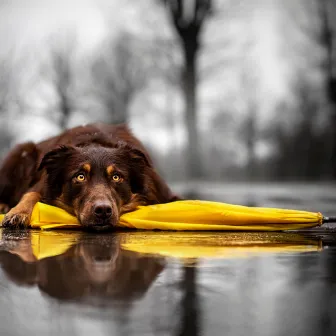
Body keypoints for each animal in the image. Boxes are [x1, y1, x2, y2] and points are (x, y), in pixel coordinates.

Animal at [0, 123, 180, 231]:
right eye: (80, 177)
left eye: (116, 177)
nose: (103, 211)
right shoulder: (42, 184)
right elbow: (31, 194)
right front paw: (18, 212)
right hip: (22, 153)